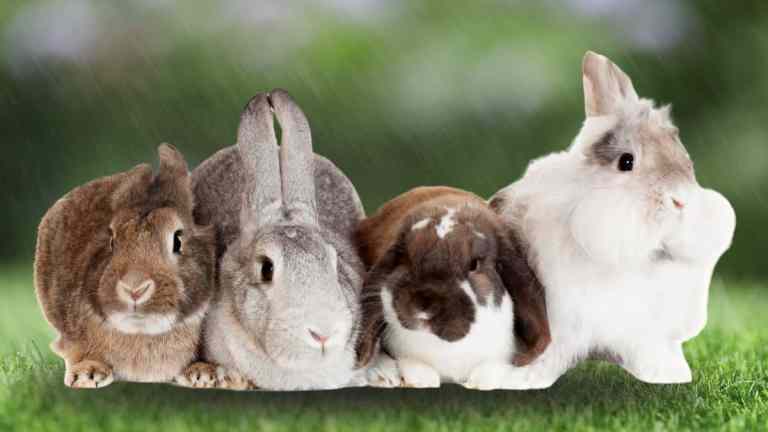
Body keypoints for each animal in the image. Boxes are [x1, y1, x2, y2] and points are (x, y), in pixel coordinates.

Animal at [354, 186, 550, 390]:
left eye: (474, 264)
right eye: (405, 259)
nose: (423, 307)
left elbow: (492, 370)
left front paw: (479, 382)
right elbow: (415, 367)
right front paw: (422, 379)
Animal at [488, 51, 736, 389]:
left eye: (686, 159)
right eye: (626, 161)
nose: (680, 200)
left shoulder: (643, 331)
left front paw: (666, 375)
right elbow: (549, 352)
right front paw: (528, 379)